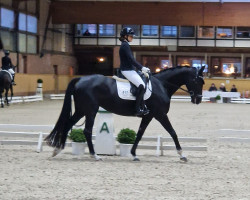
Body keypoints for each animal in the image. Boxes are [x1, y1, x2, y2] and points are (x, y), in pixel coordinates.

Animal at [45, 66, 205, 162]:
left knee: (68, 124)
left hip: (81, 110)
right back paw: (94, 155)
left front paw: (133, 154)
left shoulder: (148, 116)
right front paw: (182, 154)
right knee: (87, 130)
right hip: (90, 110)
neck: (162, 85)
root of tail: (81, 79)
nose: (198, 100)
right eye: (199, 81)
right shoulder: (160, 115)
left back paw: (57, 150)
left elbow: (140, 134)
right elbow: (173, 132)